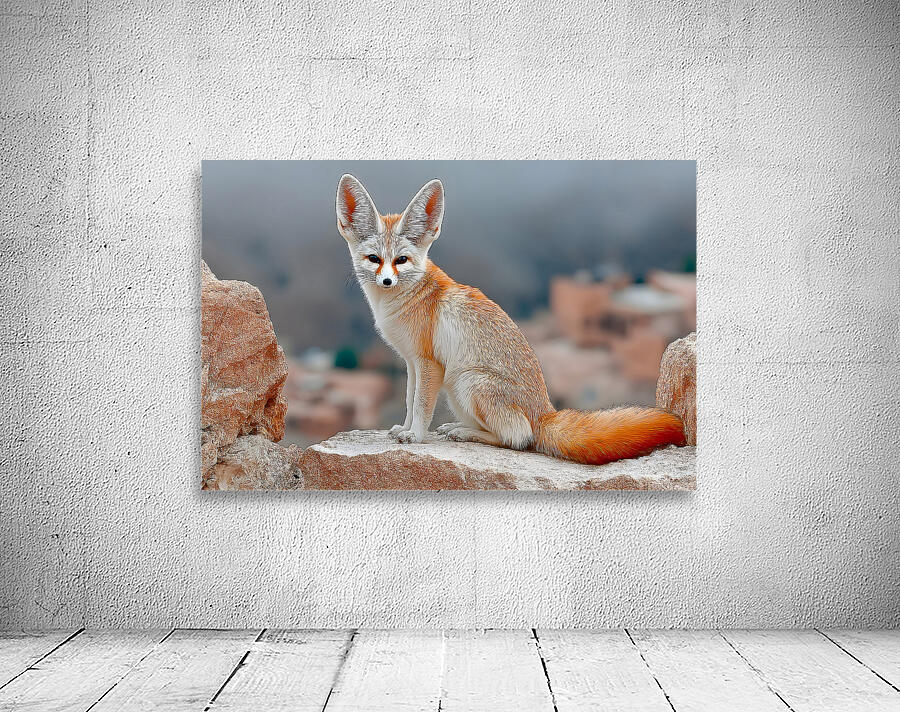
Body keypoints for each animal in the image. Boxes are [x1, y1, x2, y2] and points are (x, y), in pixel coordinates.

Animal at [335, 174, 686, 466]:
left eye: (402, 260)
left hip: (465, 381)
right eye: (374, 259)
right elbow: (410, 402)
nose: (386, 281)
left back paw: (468, 433)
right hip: (456, 387)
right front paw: (403, 430)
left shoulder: (428, 363)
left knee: (518, 439)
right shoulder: (411, 362)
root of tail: (545, 413)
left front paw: (416, 437)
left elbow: (421, 406)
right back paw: (461, 428)